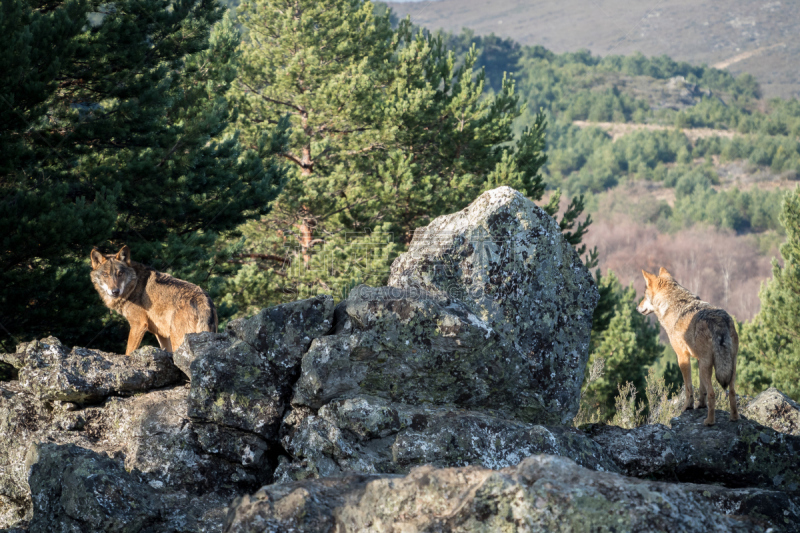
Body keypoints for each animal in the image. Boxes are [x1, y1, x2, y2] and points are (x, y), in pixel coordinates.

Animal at [636, 268, 740, 426]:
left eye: (644, 295)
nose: (637, 307)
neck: (672, 304)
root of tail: (719, 321)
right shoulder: (697, 359)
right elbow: (701, 389)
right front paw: (700, 405)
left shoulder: (683, 357)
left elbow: (688, 388)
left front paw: (687, 407)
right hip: (729, 366)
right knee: (731, 392)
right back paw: (734, 418)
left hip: (707, 366)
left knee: (712, 393)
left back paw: (709, 421)